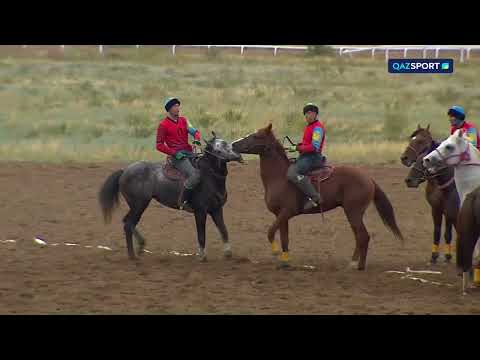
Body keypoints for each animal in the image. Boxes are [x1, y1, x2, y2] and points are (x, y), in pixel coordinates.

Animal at [99, 134, 242, 262]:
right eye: (218, 150)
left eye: (227, 143)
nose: (238, 155)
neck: (209, 178)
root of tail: (124, 171)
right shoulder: (200, 211)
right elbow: (201, 235)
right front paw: (202, 256)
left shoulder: (216, 210)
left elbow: (224, 230)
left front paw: (228, 253)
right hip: (139, 204)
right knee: (129, 224)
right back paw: (133, 255)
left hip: (137, 205)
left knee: (127, 222)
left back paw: (139, 248)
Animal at [231, 124, 404, 270]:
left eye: (256, 136)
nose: (233, 144)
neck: (279, 178)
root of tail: (368, 178)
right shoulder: (281, 215)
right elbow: (284, 238)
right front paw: (285, 262)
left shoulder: (286, 212)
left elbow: (270, 232)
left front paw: (275, 252)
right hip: (353, 213)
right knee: (359, 236)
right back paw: (353, 263)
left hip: (353, 212)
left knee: (363, 236)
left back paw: (358, 266)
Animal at [402, 125, 462, 262]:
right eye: (411, 139)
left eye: (420, 141)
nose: (404, 158)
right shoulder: (437, 209)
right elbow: (438, 231)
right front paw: (435, 255)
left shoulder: (451, 212)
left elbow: (449, 233)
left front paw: (448, 256)